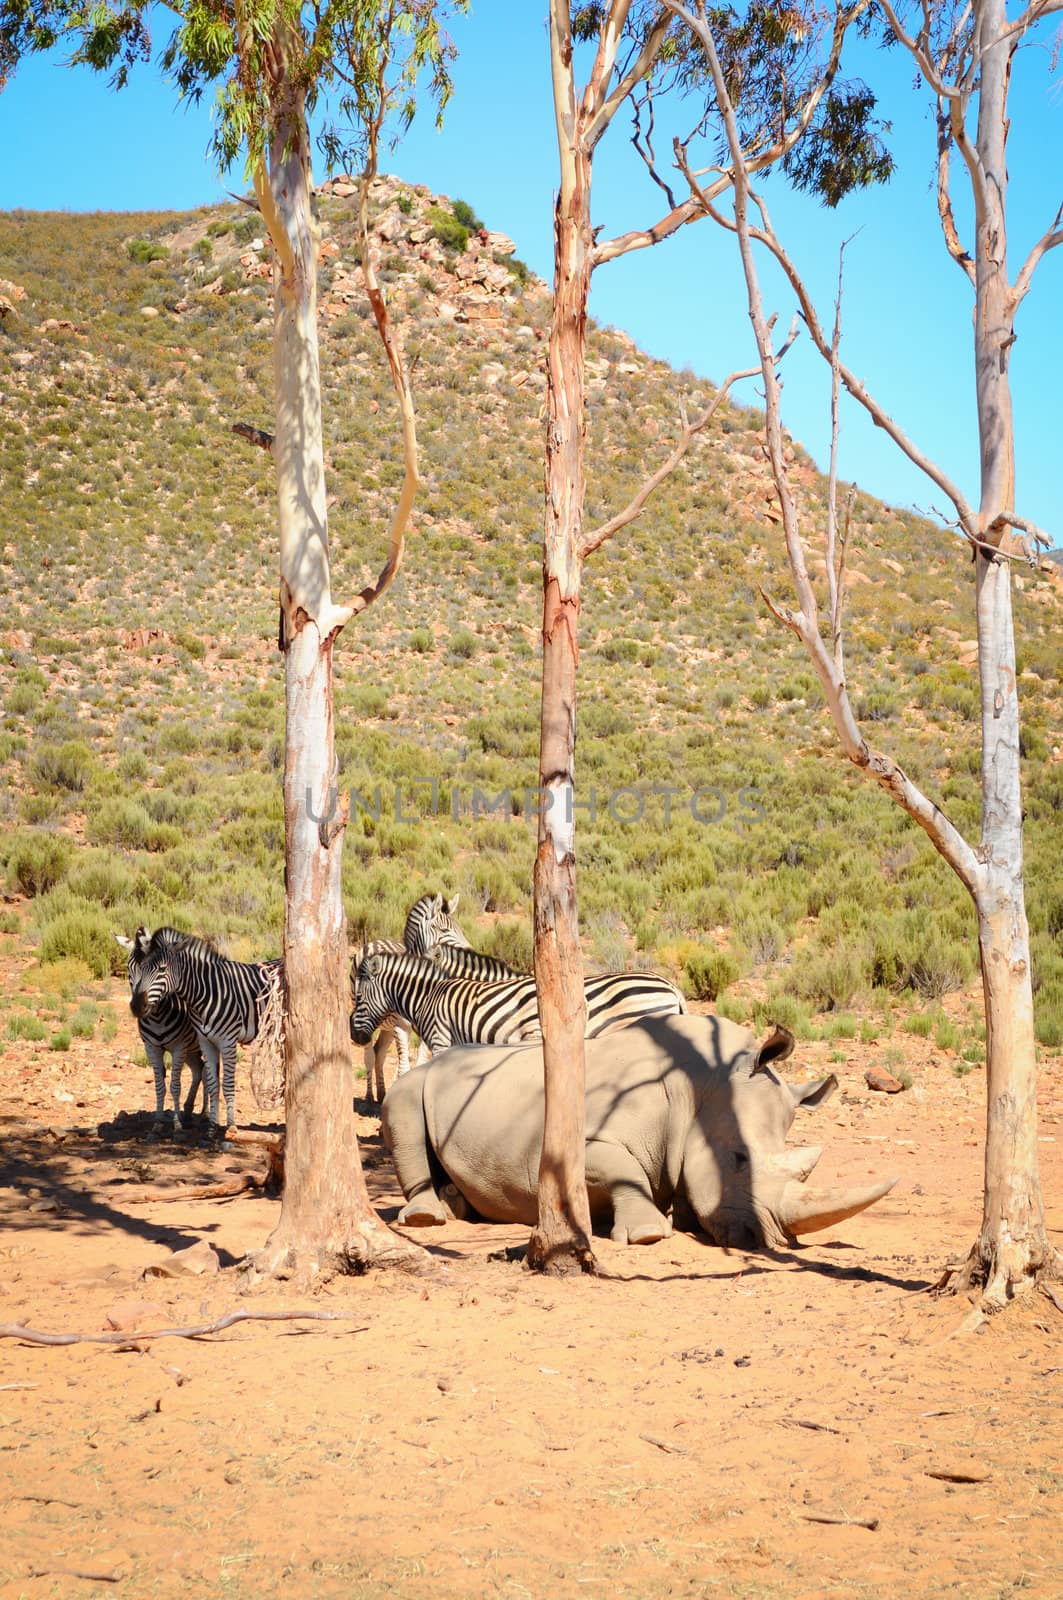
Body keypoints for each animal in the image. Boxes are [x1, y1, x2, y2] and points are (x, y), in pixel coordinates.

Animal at [116, 928, 209, 1139]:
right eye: (129, 968)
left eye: (156, 969)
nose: (137, 1007)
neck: (158, 1016)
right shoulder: (152, 1047)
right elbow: (159, 1086)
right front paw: (158, 1125)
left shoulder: (178, 1047)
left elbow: (175, 1086)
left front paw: (177, 1126)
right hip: (191, 1050)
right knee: (199, 1070)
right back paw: (189, 1110)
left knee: (209, 1072)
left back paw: (205, 1114)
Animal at [128, 928, 281, 1139]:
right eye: (138, 968)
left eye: (162, 969)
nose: (136, 1006)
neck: (207, 992)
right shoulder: (206, 1041)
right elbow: (213, 1083)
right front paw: (211, 1129)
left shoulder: (227, 1041)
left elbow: (227, 1085)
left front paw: (231, 1127)